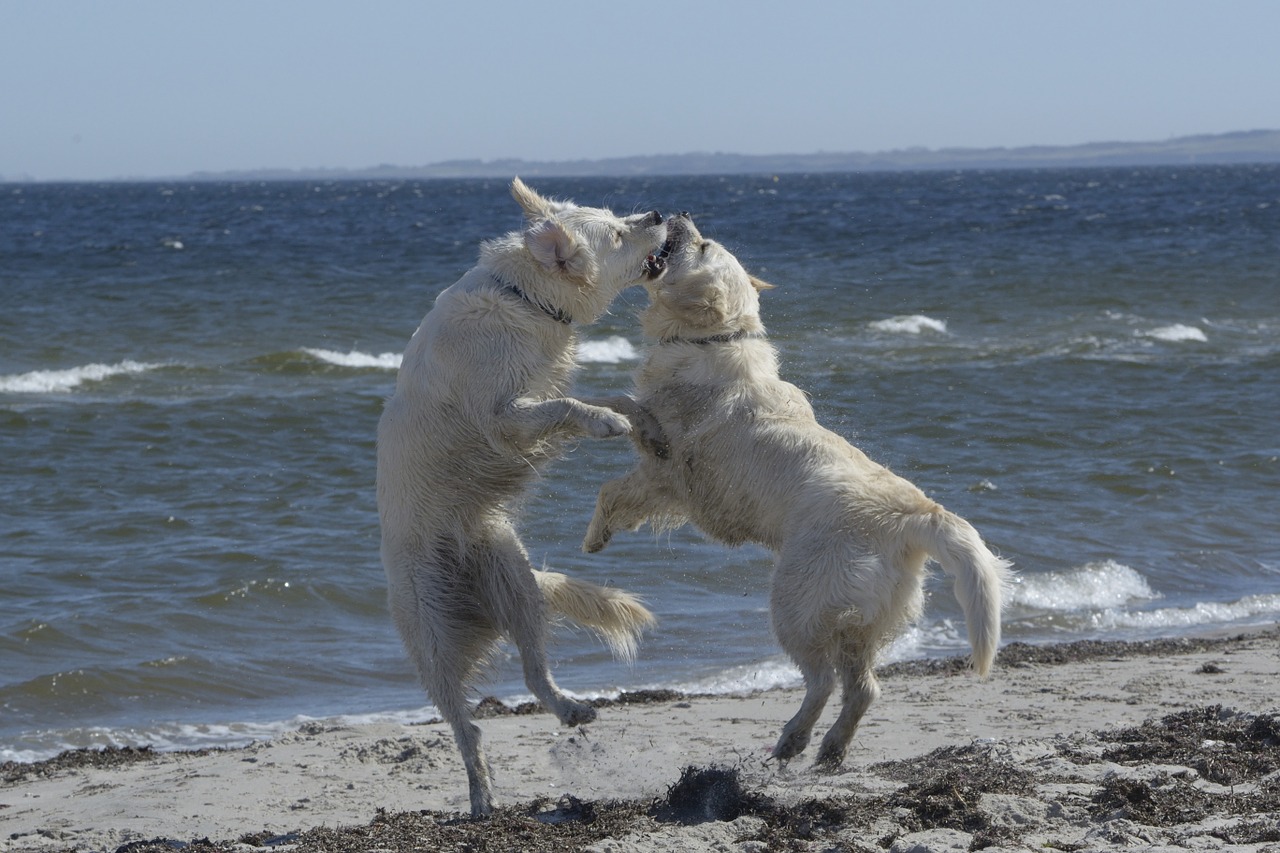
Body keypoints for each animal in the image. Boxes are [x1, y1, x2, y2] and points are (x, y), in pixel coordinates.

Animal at [376, 178, 660, 809]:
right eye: (619, 233)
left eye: (622, 216)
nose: (660, 212)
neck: (525, 297)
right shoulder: (503, 417)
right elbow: (566, 406)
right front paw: (607, 422)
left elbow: (594, 398)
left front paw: (637, 419)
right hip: (431, 636)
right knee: (467, 728)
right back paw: (481, 797)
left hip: (516, 580)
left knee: (533, 671)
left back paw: (572, 709)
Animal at [586, 211, 1013, 763]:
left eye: (701, 247)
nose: (677, 214)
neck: (715, 341)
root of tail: (916, 514)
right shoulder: (667, 486)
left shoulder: (665, 470)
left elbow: (617, 443)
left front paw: (595, 534)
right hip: (859, 620)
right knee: (864, 688)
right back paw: (830, 747)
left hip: (796, 602)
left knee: (824, 680)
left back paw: (794, 737)